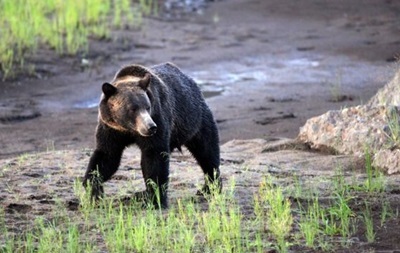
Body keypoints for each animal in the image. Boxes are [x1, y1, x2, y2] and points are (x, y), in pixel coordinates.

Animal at [83, 61, 222, 208]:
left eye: (147, 106)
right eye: (132, 108)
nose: (150, 127)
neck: (129, 129)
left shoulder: (158, 118)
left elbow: (154, 157)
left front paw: (155, 200)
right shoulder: (111, 130)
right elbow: (106, 157)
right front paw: (93, 189)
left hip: (194, 119)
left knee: (207, 151)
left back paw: (209, 188)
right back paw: (140, 194)